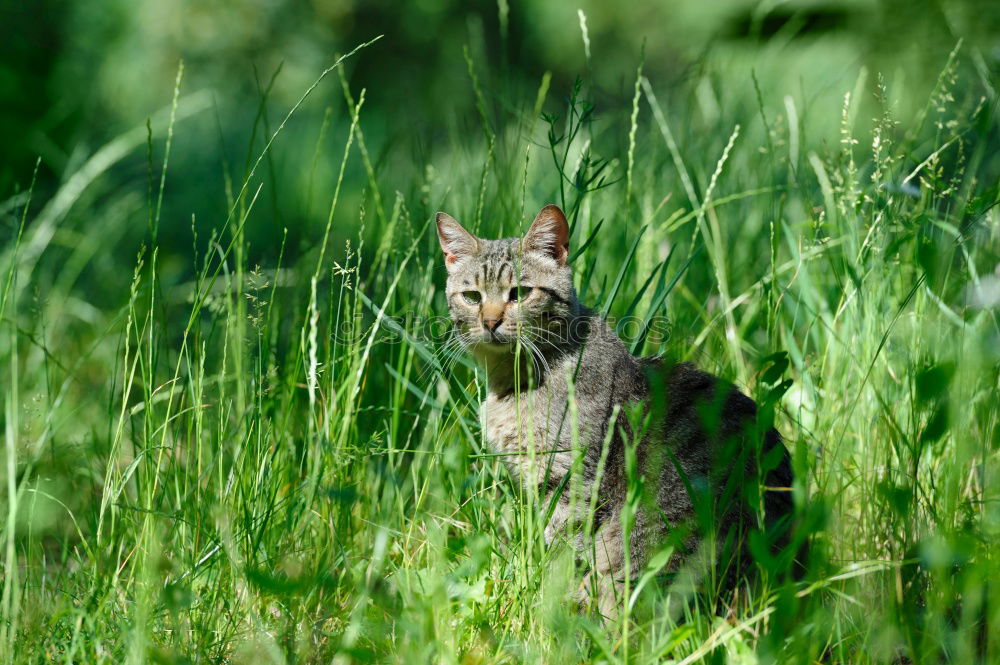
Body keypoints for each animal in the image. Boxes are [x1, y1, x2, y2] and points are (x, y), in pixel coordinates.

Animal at [434, 204, 792, 616]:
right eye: (472, 297)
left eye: (520, 293)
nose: (490, 321)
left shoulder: (572, 483)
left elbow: (562, 552)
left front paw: (551, 604)